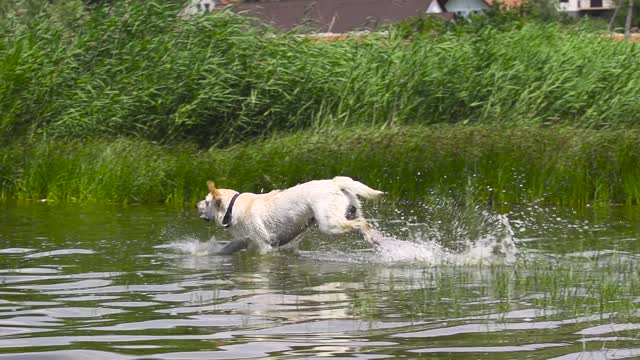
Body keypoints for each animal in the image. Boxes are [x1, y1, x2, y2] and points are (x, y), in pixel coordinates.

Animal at [198, 176, 382, 255]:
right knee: (364, 223)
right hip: (349, 212)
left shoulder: (263, 244)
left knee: (362, 223)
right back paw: (377, 241)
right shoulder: (242, 240)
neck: (232, 207)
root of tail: (335, 182)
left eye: (206, 202)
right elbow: (224, 249)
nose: (196, 205)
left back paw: (373, 240)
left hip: (329, 224)